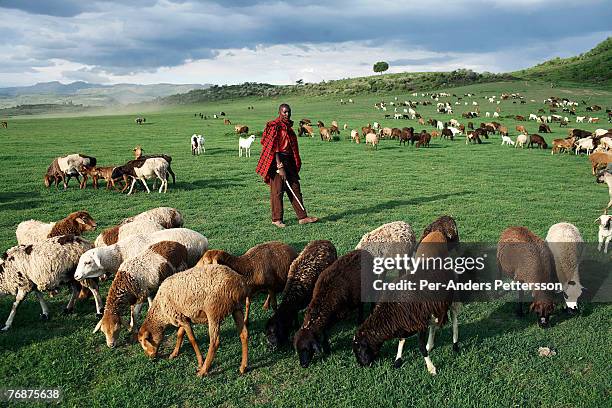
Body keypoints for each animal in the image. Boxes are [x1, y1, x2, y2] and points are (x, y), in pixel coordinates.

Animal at [352, 231, 456, 374]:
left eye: (359, 348)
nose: (362, 365)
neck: (390, 313)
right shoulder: (405, 323)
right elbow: (401, 340)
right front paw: (398, 360)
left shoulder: (420, 324)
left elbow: (420, 347)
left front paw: (431, 368)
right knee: (434, 324)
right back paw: (431, 344)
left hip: (451, 298)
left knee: (454, 316)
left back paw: (455, 344)